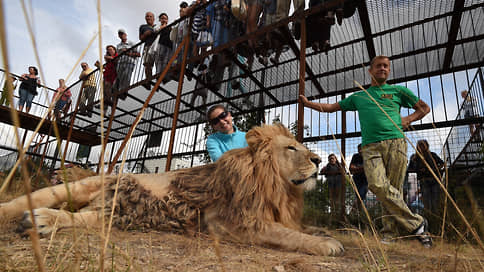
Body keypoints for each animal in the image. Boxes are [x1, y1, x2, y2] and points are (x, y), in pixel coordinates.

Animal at [0, 124, 344, 256]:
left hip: (115, 213)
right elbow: (286, 234)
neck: (277, 187)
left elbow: (299, 228)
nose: (318, 159)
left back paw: (40, 220)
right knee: (33, 201)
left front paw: (325, 234)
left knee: (82, 218)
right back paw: (35, 217)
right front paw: (326, 244)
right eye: (291, 148)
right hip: (79, 188)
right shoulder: (230, 222)